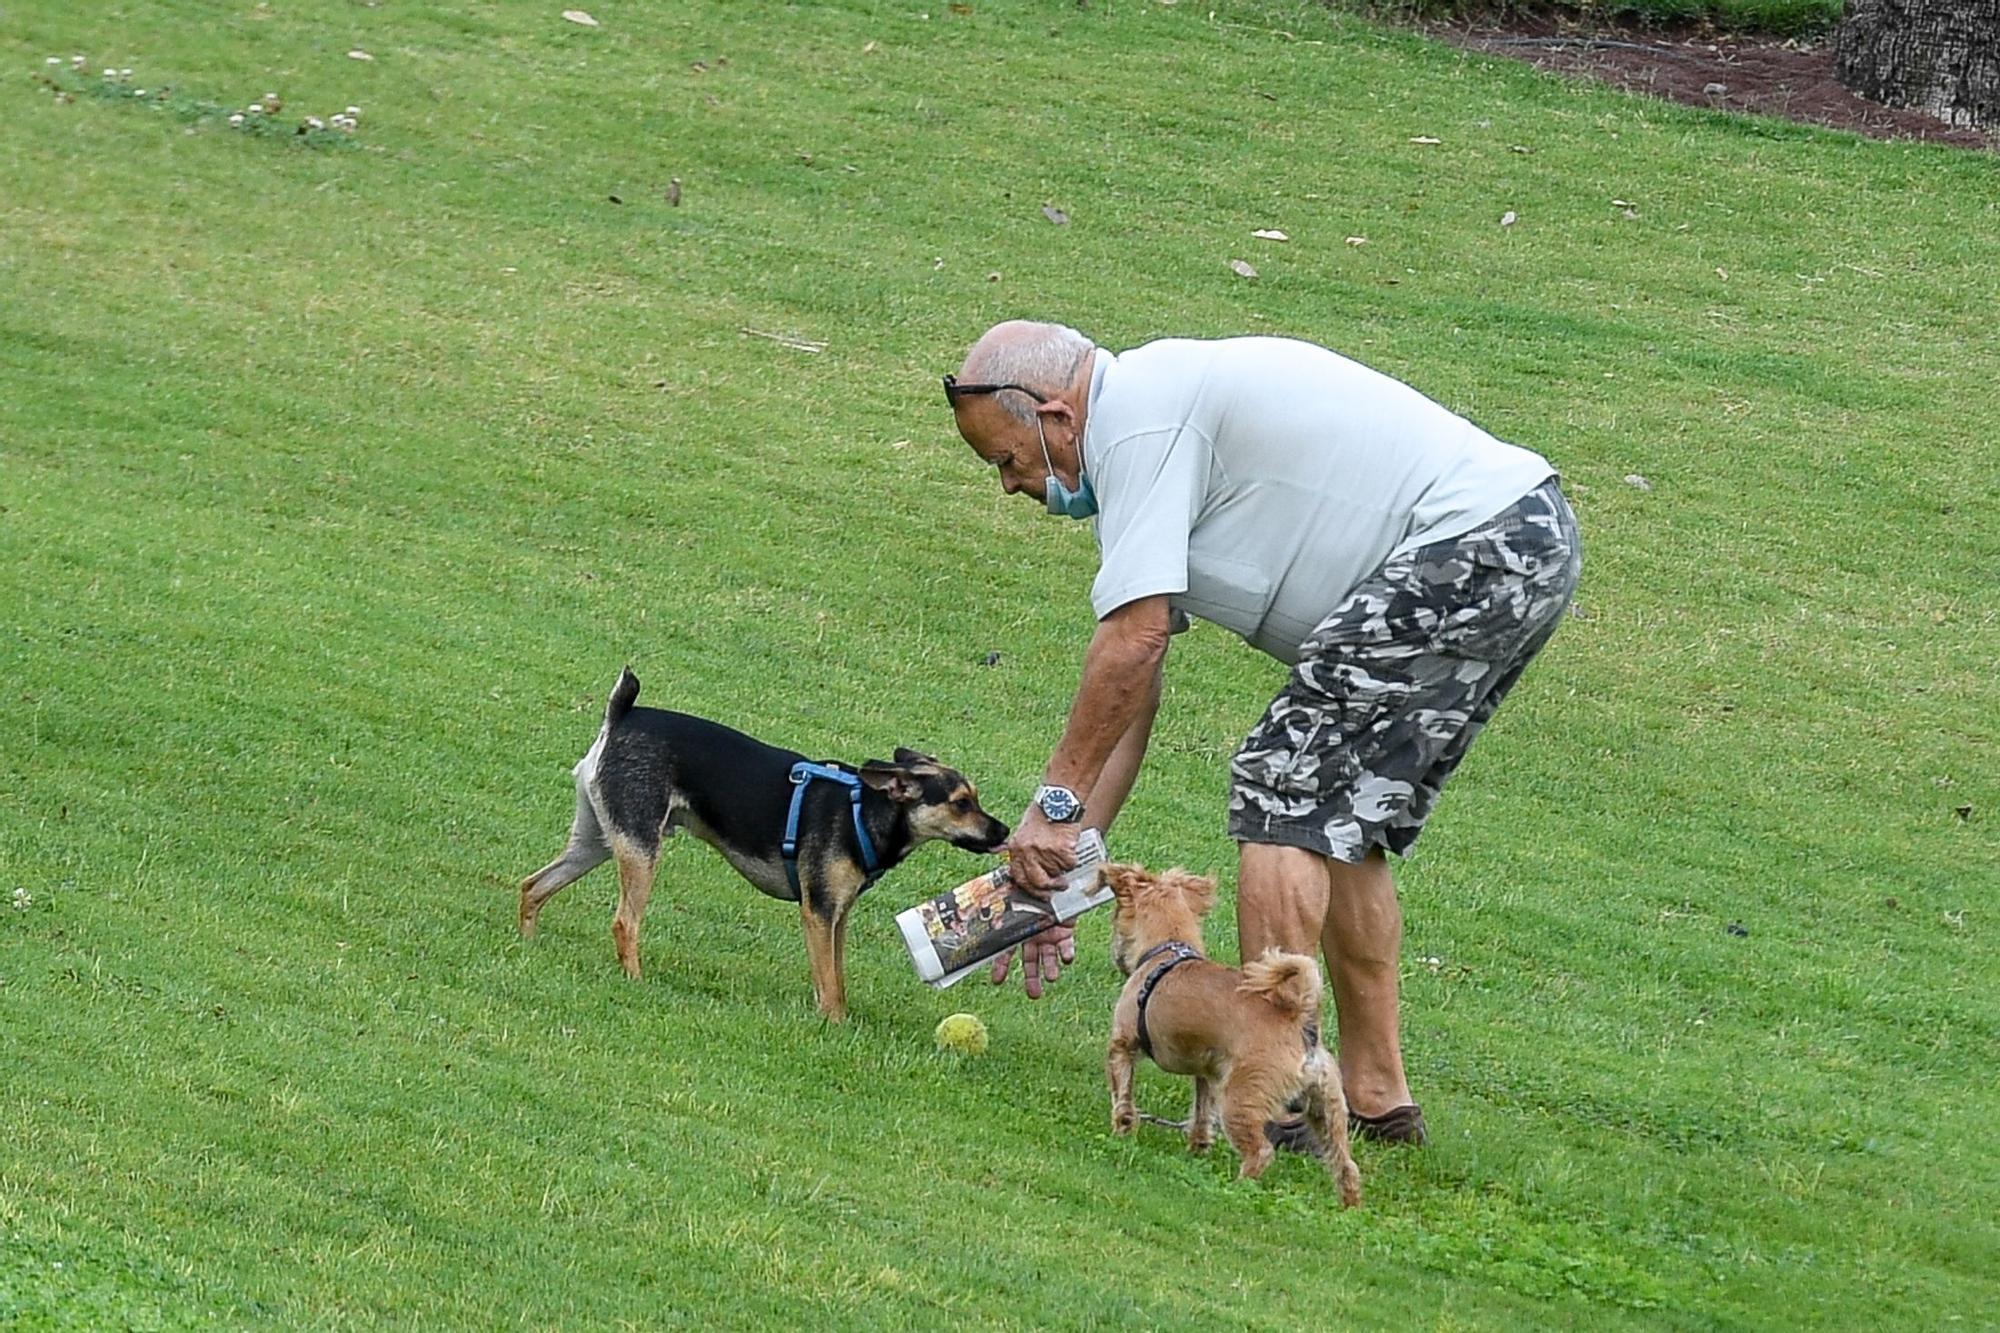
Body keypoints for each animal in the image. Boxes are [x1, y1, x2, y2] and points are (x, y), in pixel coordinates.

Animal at [520, 664, 1008, 1016]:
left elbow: (837, 974)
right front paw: (833, 1024)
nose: (1003, 831)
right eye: (962, 803)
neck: (863, 809)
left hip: (598, 841)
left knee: (533, 886)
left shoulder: (838, 915)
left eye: (975, 799)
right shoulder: (818, 913)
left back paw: (527, 943)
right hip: (640, 849)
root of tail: (622, 717)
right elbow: (829, 984)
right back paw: (635, 980)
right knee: (624, 922)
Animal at [1104, 860, 1368, 1200]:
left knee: (1261, 1151)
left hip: (1242, 1098)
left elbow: (1122, 1095)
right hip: (1327, 1107)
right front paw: (1198, 1147)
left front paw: (1122, 1131)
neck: (1168, 950)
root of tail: (1299, 1023)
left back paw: (1239, 1187)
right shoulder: (1206, 1073)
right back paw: (1349, 1204)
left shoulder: (1123, 1045)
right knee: (1346, 1166)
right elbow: (1202, 1112)